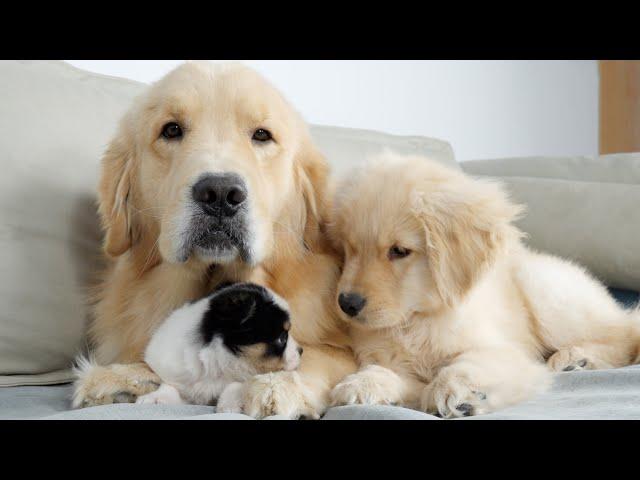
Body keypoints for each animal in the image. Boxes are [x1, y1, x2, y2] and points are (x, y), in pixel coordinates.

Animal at [134, 282, 302, 412]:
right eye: (282, 338)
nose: (301, 351)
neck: (217, 363)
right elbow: (169, 386)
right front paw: (155, 398)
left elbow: (236, 384)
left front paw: (230, 404)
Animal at [328, 153, 636, 416]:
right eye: (348, 249)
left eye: (399, 251)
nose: (347, 303)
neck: (418, 319)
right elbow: (396, 376)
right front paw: (363, 384)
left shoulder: (509, 354)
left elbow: (467, 362)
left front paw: (456, 389)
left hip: (546, 293)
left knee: (625, 334)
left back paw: (577, 357)